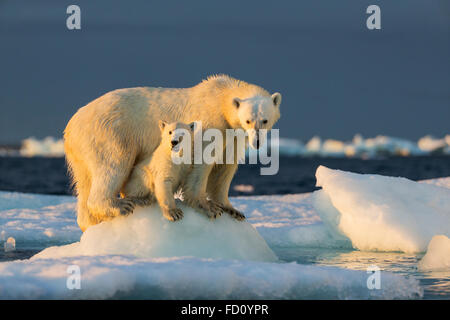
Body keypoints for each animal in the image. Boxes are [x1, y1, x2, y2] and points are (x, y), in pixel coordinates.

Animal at [64, 75, 282, 230]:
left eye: (265, 120)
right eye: (248, 120)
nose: (257, 141)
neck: (220, 98)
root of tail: (71, 126)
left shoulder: (234, 135)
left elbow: (224, 170)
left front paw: (233, 210)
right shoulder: (210, 123)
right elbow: (201, 162)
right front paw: (208, 207)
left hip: (82, 152)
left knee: (85, 182)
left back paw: (91, 222)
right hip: (110, 132)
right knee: (113, 165)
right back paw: (120, 206)